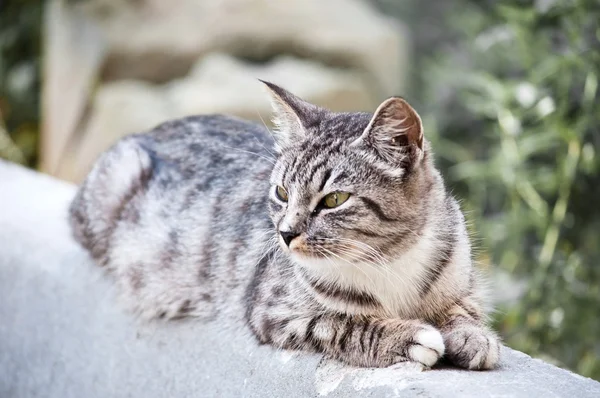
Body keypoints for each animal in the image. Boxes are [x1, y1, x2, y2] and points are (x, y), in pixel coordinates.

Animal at [69, 81, 502, 370]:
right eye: (280, 192)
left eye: (333, 200)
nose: (286, 233)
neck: (392, 262)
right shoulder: (272, 309)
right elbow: (340, 324)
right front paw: (406, 336)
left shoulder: (462, 281)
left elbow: (463, 309)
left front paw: (474, 337)